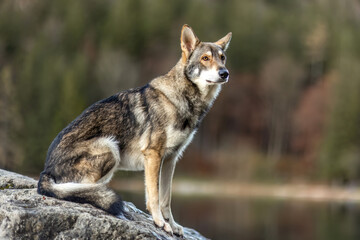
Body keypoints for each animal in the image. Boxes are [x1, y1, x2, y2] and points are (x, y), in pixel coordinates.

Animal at [38, 24, 232, 236]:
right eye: (205, 58)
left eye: (222, 57)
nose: (224, 73)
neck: (184, 100)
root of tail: (46, 169)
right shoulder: (153, 155)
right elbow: (154, 196)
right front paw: (159, 222)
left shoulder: (170, 159)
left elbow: (166, 199)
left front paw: (172, 225)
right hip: (110, 148)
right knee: (78, 189)